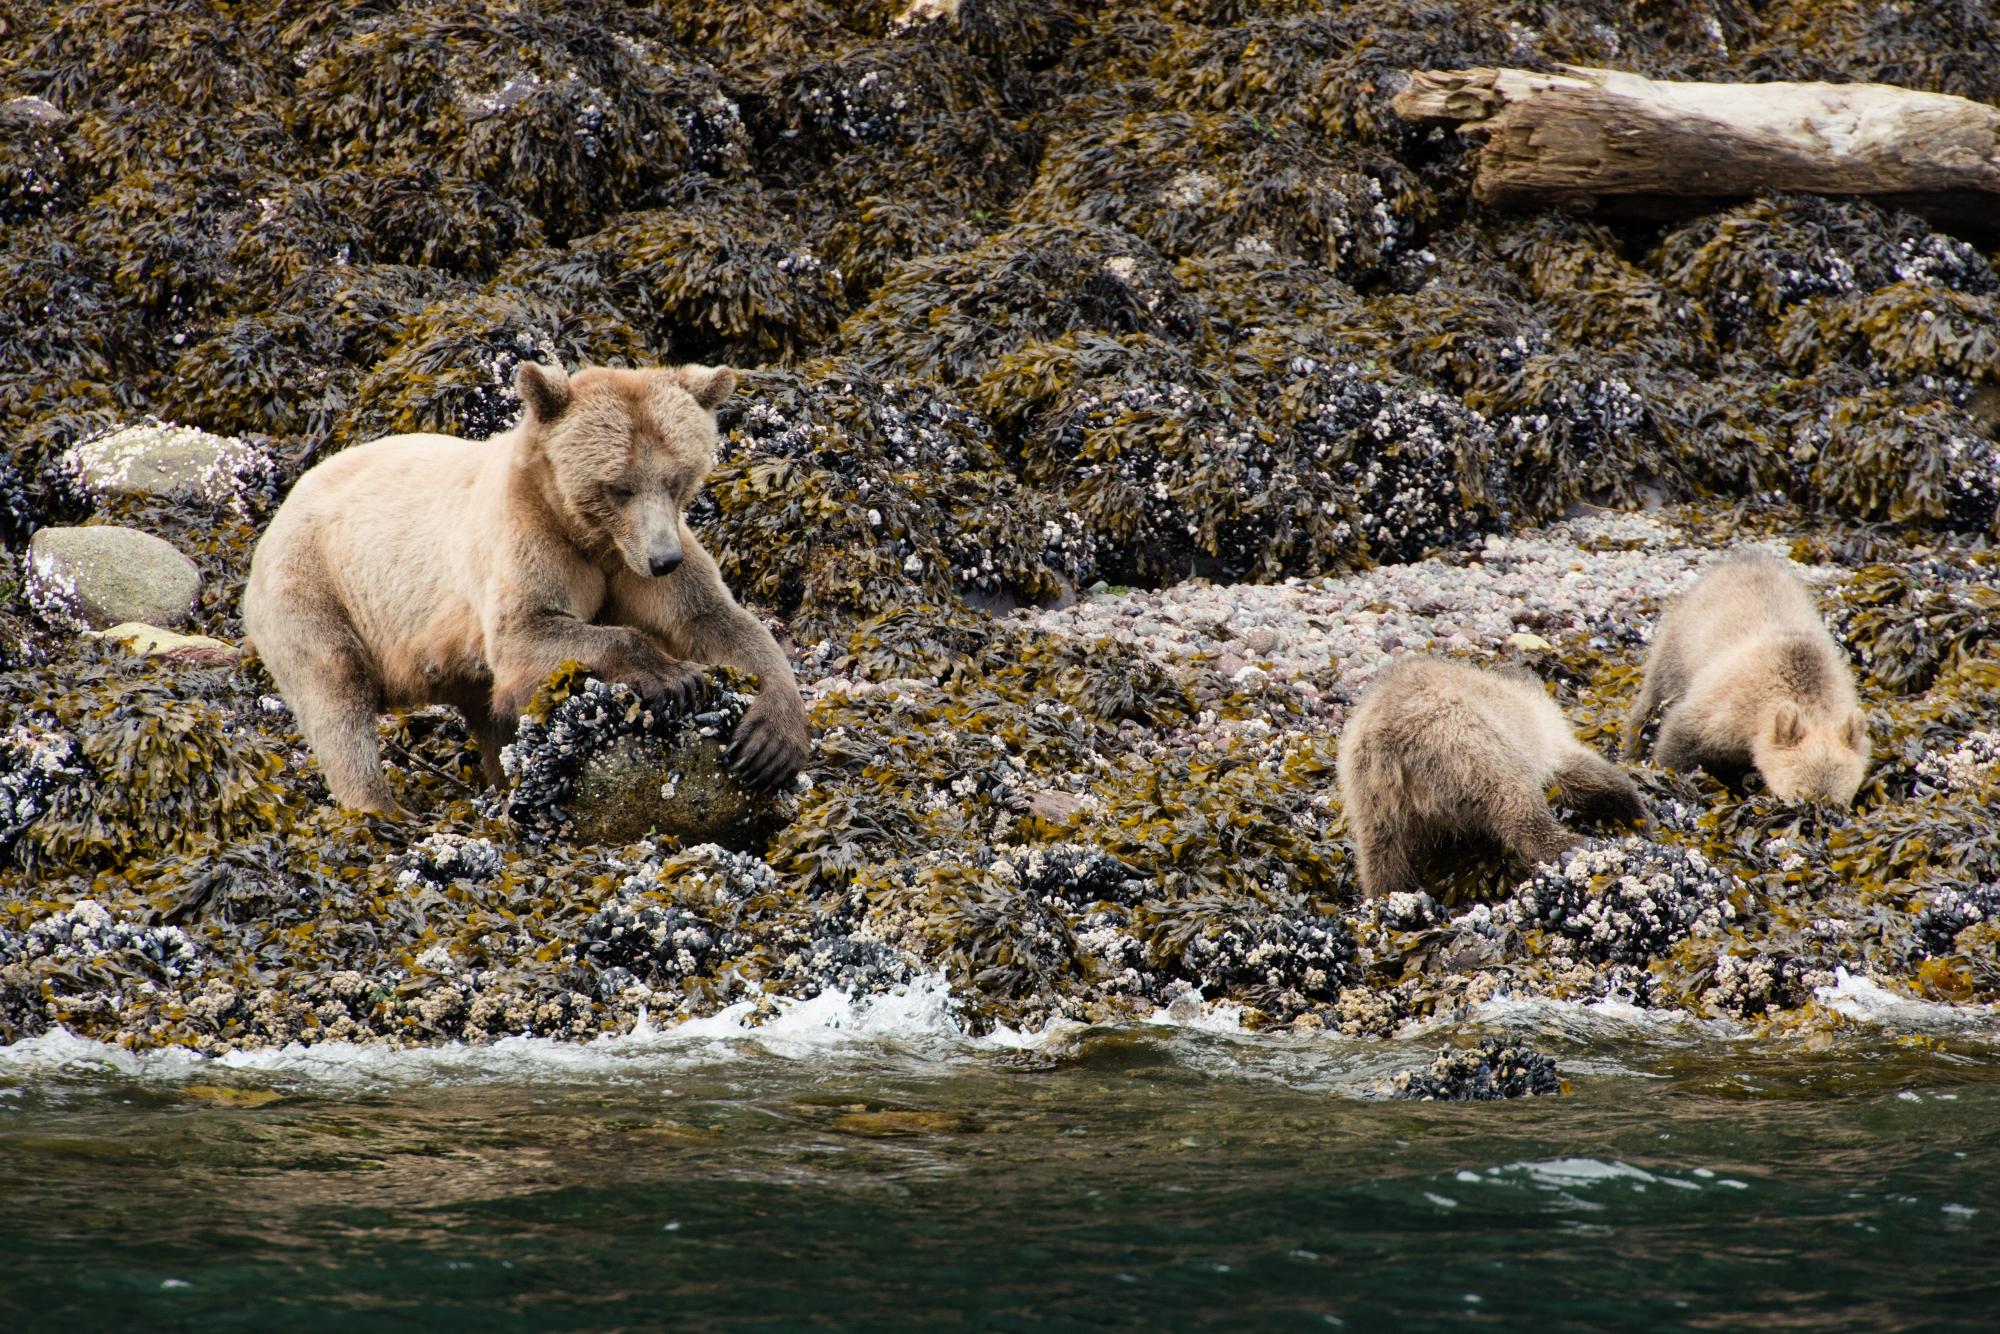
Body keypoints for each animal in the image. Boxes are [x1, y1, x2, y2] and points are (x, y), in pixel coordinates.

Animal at [246, 360, 808, 816]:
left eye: (677, 478)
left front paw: (771, 740)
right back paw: (382, 810)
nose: (663, 560)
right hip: (313, 584)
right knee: (336, 692)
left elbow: (711, 619)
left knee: (490, 715)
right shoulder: (527, 542)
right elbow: (527, 633)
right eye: (619, 486)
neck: (589, 535)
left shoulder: (634, 562)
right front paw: (676, 677)